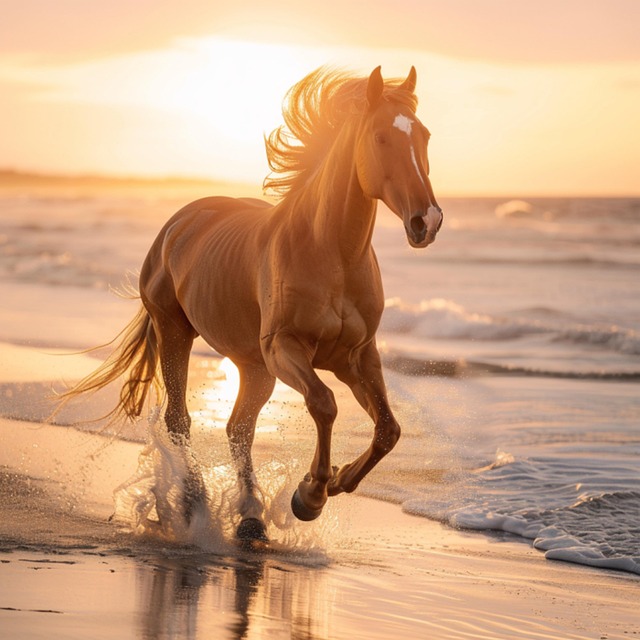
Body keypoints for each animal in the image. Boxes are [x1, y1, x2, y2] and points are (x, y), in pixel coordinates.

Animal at [61, 66, 443, 544]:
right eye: (380, 137)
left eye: (425, 136)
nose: (427, 221)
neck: (330, 252)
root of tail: (178, 223)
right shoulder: (285, 347)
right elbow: (324, 404)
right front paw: (309, 496)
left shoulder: (357, 356)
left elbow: (388, 430)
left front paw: (334, 481)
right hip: (177, 332)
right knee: (180, 420)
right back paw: (194, 503)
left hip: (254, 367)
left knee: (238, 429)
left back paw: (250, 518)